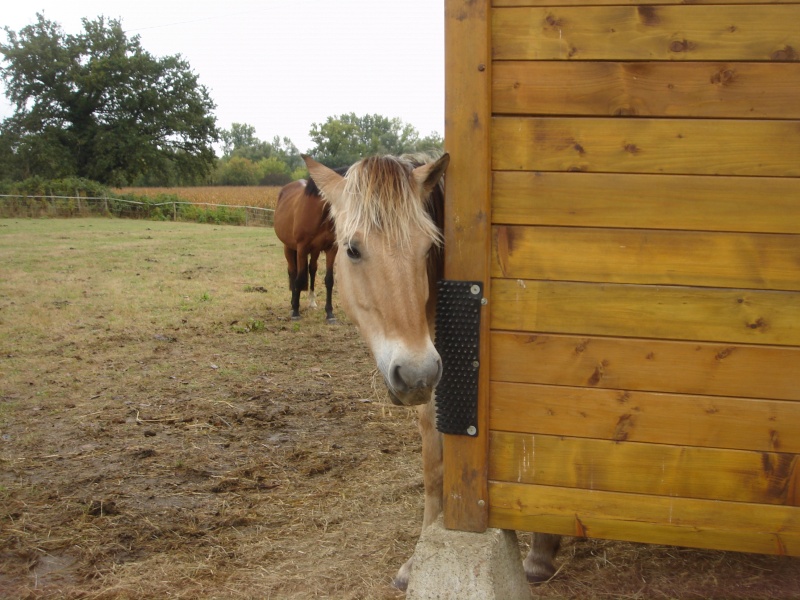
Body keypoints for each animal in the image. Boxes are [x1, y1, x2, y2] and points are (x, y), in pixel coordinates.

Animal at [274, 169, 346, 324]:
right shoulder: (301, 249)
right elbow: (300, 278)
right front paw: (295, 311)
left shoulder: (331, 249)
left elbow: (329, 280)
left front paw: (330, 313)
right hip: (289, 247)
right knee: (293, 272)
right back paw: (293, 305)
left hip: (315, 251)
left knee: (312, 269)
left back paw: (312, 302)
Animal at [304, 154, 560, 592]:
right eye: (352, 249)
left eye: (429, 247)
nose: (417, 372)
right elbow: (434, 468)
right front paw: (417, 560)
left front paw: (539, 554)